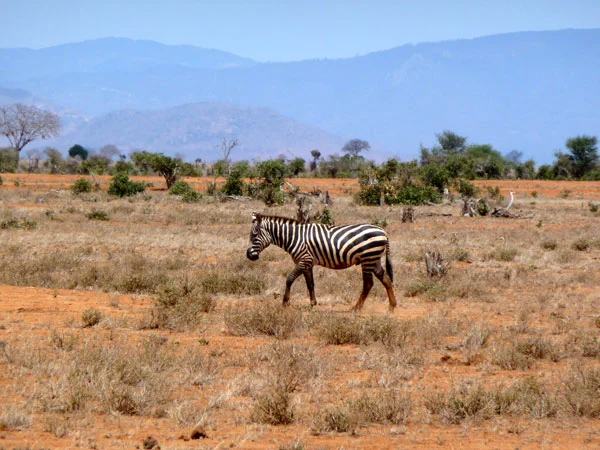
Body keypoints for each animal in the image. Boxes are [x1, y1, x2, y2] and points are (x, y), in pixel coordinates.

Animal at [246, 210, 396, 310]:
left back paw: (356, 308)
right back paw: (392, 306)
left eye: (254, 235)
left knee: (368, 284)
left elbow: (289, 279)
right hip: (374, 260)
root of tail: (383, 232)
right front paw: (313, 304)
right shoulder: (307, 263)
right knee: (386, 279)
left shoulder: (304, 260)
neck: (294, 237)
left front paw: (285, 302)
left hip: (368, 259)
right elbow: (310, 284)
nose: (249, 256)